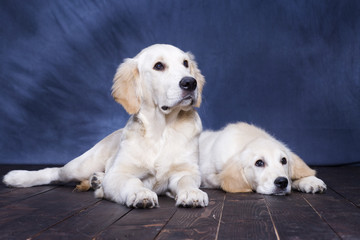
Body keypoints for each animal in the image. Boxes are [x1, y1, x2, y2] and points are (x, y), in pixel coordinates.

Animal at [2, 43, 210, 208]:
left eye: (185, 64)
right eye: (159, 66)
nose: (190, 83)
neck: (161, 129)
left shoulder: (186, 170)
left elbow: (186, 181)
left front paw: (192, 193)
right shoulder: (119, 173)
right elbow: (132, 182)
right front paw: (141, 193)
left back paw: (97, 180)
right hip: (81, 165)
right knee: (54, 171)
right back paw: (17, 177)